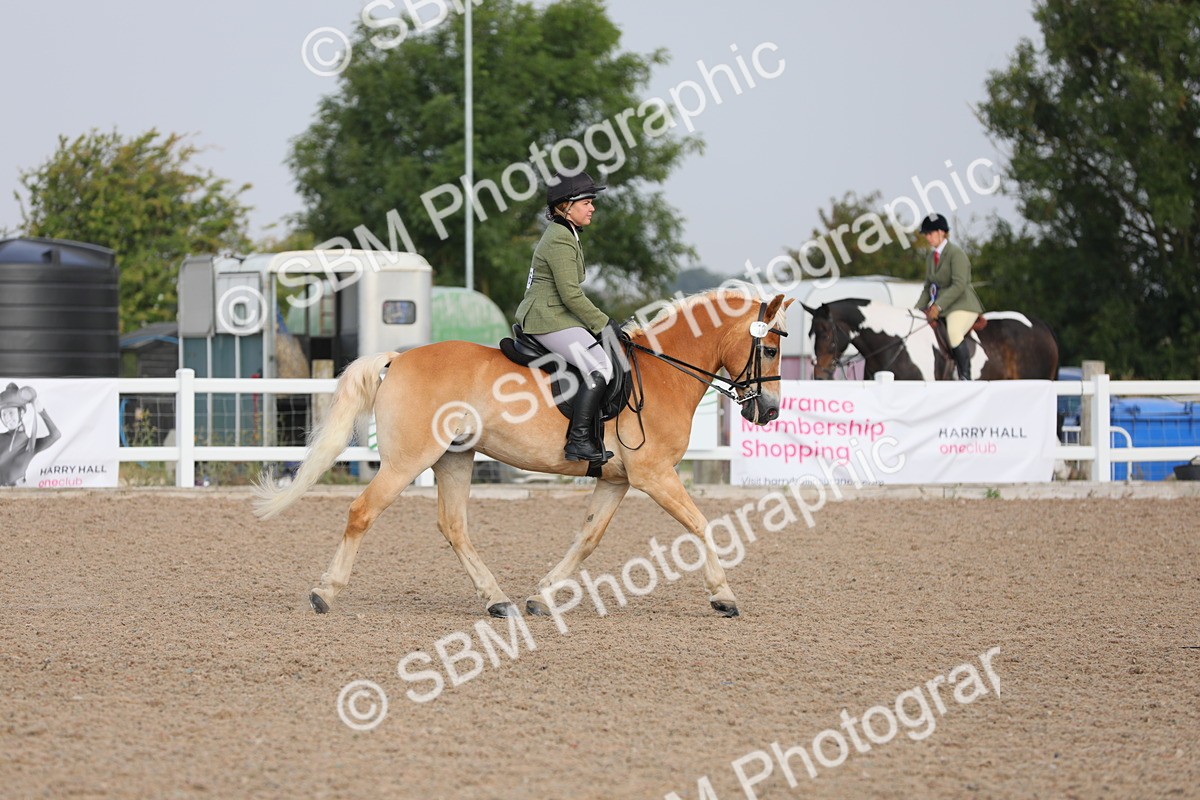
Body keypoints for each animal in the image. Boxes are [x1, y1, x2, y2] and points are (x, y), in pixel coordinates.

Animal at [254, 288, 794, 619]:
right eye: (769, 350)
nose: (768, 411)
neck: (662, 373)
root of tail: (399, 358)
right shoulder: (654, 475)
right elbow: (701, 525)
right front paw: (723, 596)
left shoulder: (617, 479)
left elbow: (587, 538)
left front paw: (543, 596)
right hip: (408, 461)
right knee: (362, 512)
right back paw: (325, 592)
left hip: (454, 458)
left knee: (454, 527)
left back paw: (498, 601)